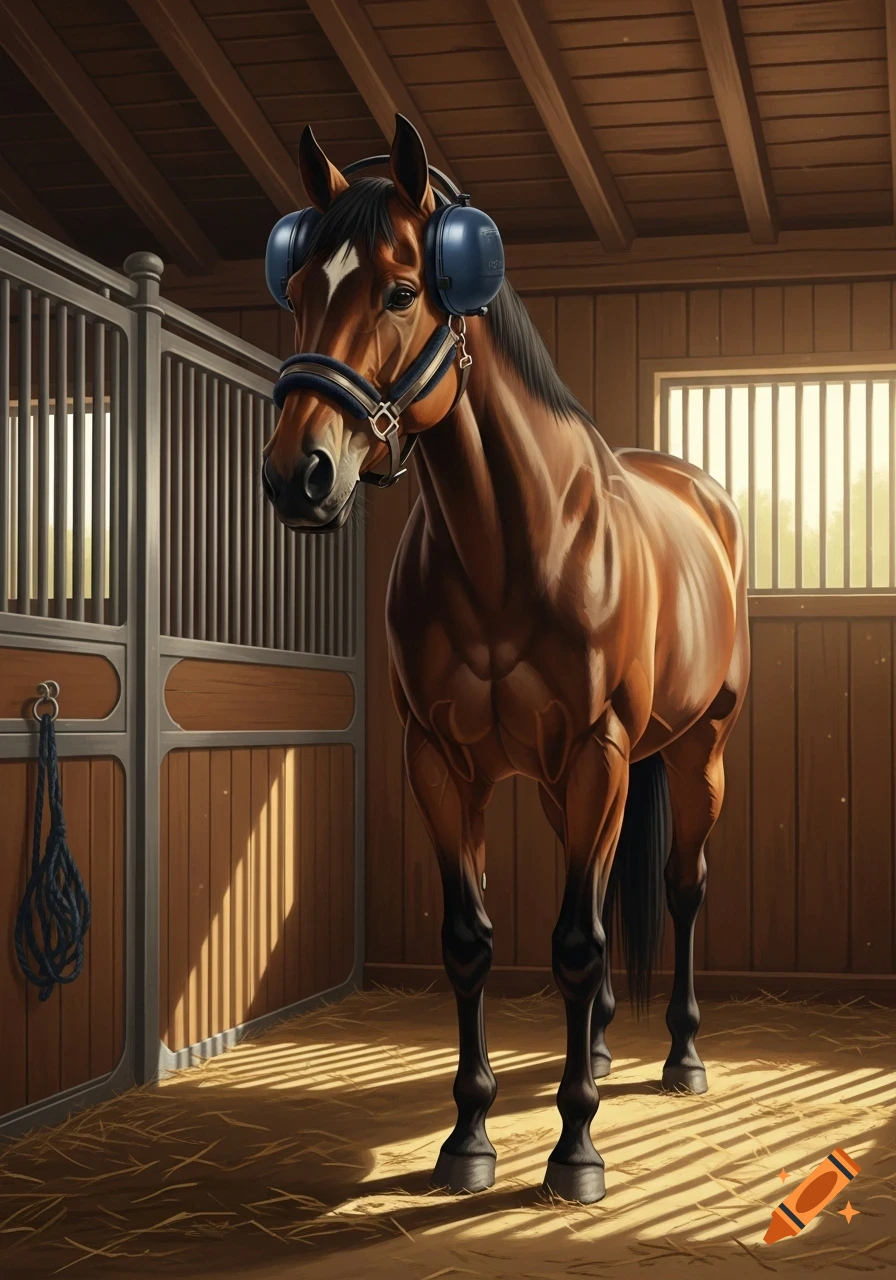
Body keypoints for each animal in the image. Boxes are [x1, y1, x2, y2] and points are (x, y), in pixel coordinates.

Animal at [261, 114, 750, 1205]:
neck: (507, 546)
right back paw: (599, 1048)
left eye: (402, 290)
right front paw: (469, 1137)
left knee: (684, 886)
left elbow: (576, 942)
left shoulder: (598, 755)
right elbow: (471, 942)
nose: (297, 476)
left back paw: (680, 1056)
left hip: (694, 748)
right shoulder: (442, 764)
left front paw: (576, 1150)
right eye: (299, 285)